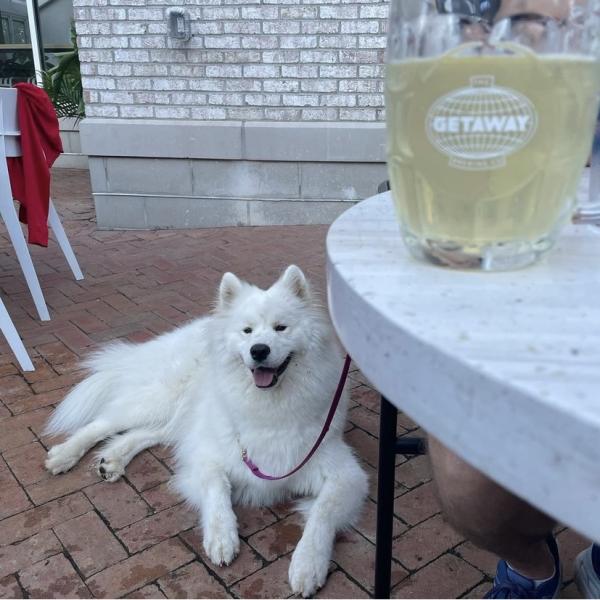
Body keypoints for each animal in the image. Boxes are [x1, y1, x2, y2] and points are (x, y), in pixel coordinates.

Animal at [44, 268, 368, 600]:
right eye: (247, 331)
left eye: (281, 328)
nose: (259, 350)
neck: (267, 409)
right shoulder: (207, 455)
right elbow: (217, 491)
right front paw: (222, 538)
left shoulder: (345, 474)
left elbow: (322, 515)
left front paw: (307, 565)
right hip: (162, 398)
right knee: (103, 422)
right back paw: (64, 455)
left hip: (182, 413)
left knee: (144, 433)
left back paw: (112, 459)